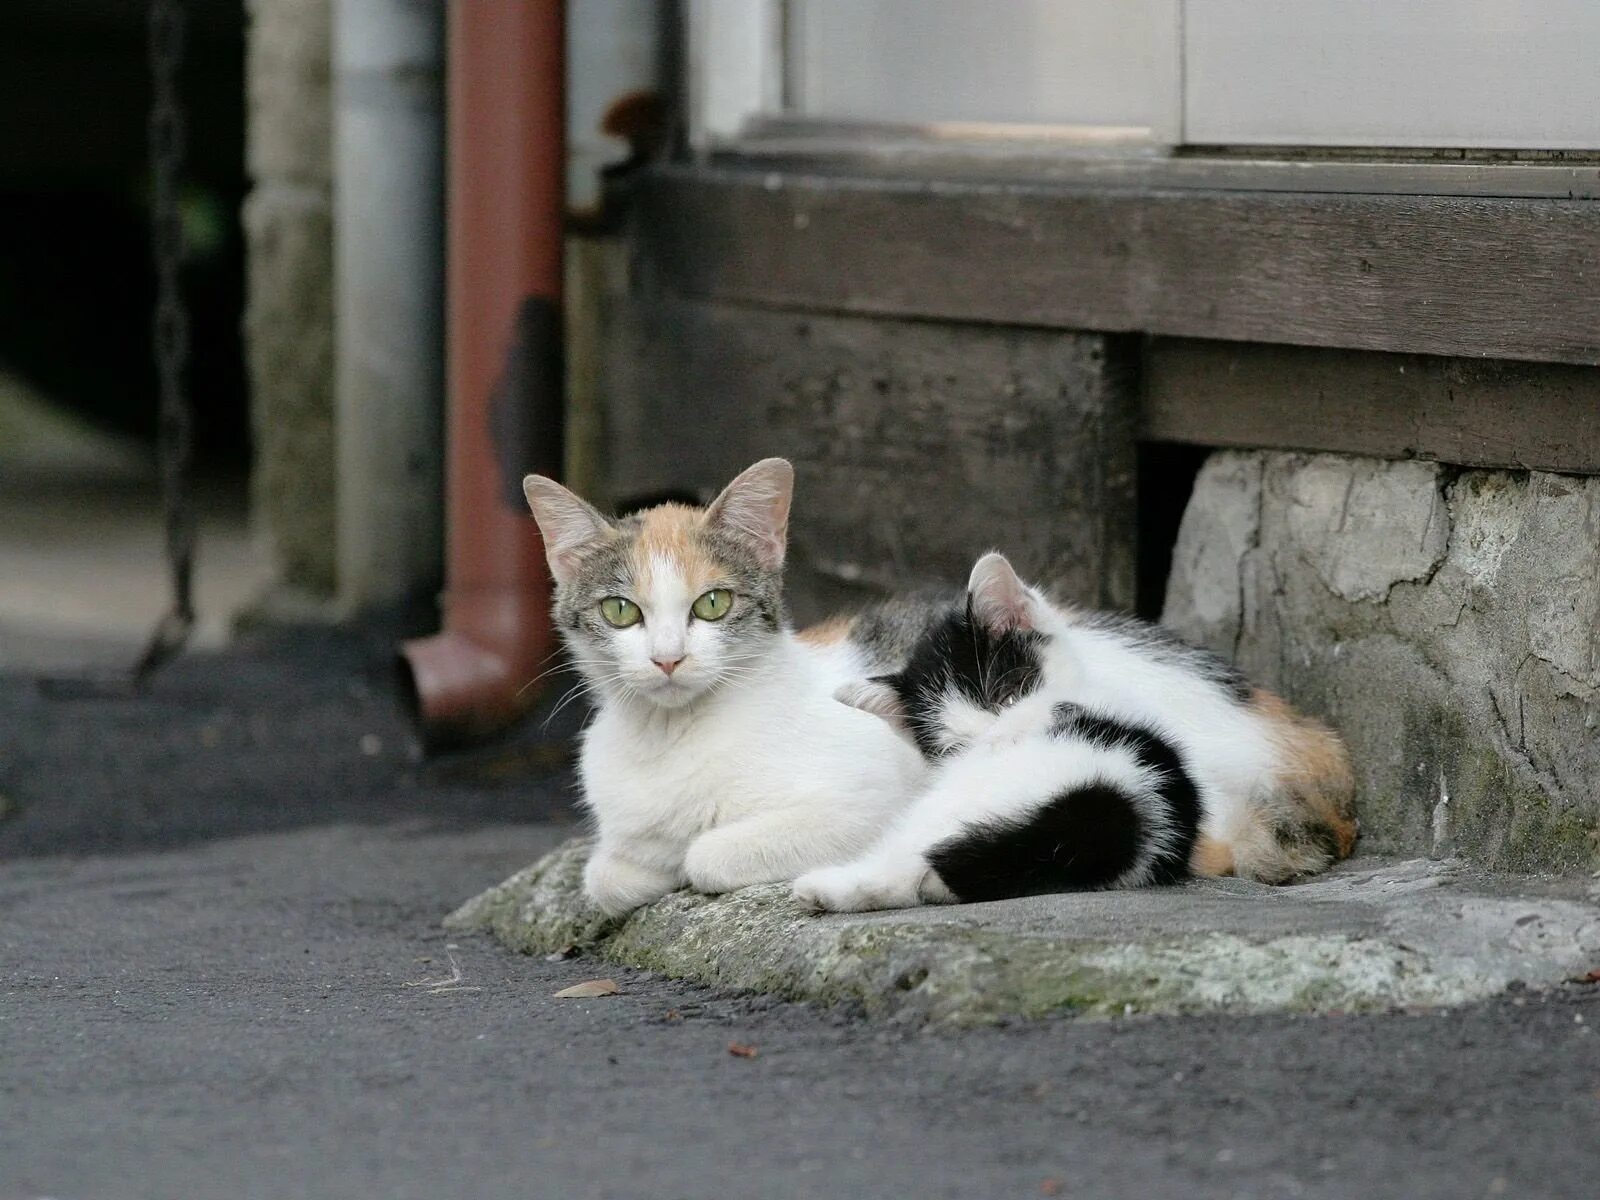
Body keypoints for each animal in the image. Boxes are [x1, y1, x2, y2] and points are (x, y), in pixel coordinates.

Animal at [518, 454, 934, 915]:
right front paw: (652, 864)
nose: (668, 657)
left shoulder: (867, 800)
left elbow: (704, 855)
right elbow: (603, 877)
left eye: (713, 603)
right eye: (620, 610)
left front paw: (683, 858)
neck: (670, 734)